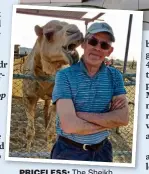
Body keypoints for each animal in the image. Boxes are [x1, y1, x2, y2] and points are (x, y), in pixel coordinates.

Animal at [22, 20, 84, 151]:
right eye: (48, 34)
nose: (76, 31)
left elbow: (50, 132)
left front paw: (49, 149)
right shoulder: (28, 96)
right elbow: (30, 131)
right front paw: (27, 150)